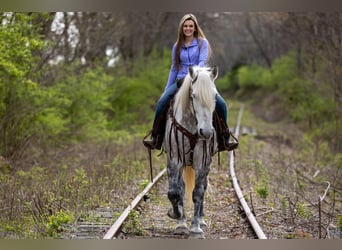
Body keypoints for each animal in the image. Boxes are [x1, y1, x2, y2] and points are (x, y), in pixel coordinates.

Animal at [164, 65, 218, 238]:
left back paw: (201, 219)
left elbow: (198, 193)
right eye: (193, 96)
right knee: (180, 188)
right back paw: (181, 222)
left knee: (203, 187)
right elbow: (174, 192)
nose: (206, 132)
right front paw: (177, 216)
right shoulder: (174, 160)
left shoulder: (202, 162)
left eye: (215, 96)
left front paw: (196, 228)